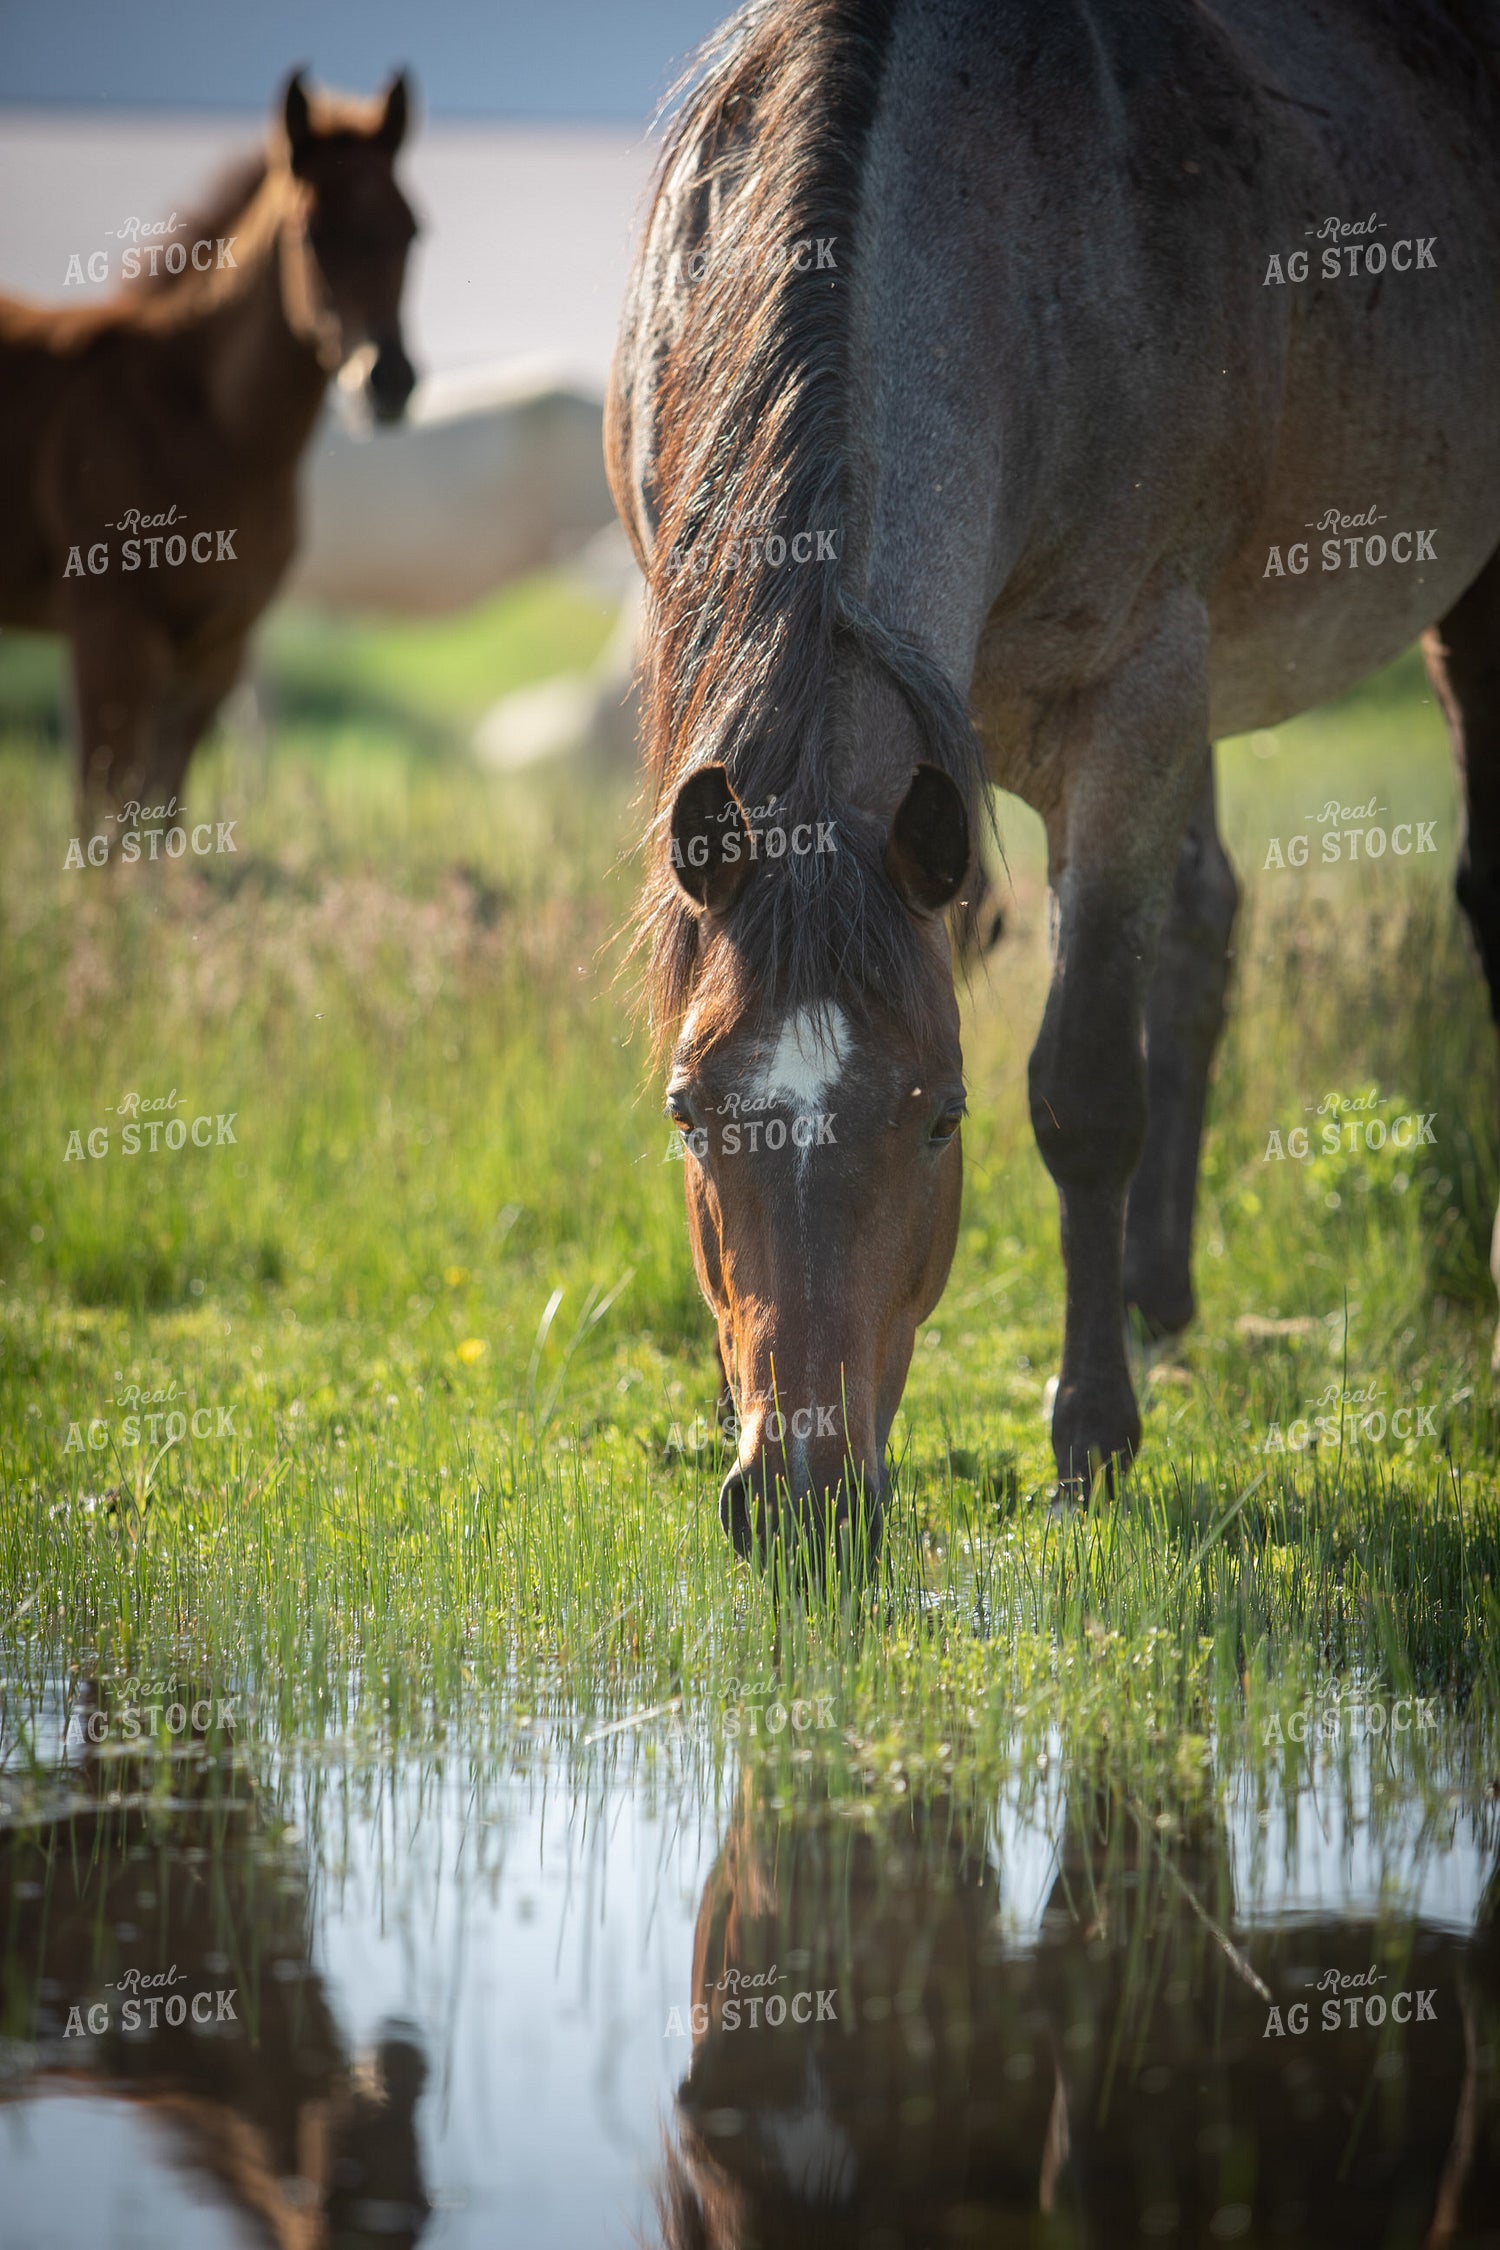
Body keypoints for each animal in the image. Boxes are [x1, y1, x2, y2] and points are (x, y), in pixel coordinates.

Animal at [0, 71, 419, 815]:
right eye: (310, 234)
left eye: (413, 231)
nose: (387, 382)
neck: (201, 423)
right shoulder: (110, 638)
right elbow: (104, 811)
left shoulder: (215, 649)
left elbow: (160, 807)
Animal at [606, 0, 1500, 1546]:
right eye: (687, 1111)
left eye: (937, 1117)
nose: (801, 1500)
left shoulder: (1137, 691)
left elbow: (1084, 1088)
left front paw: (1091, 1434)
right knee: (1205, 918)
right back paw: (1157, 1292)